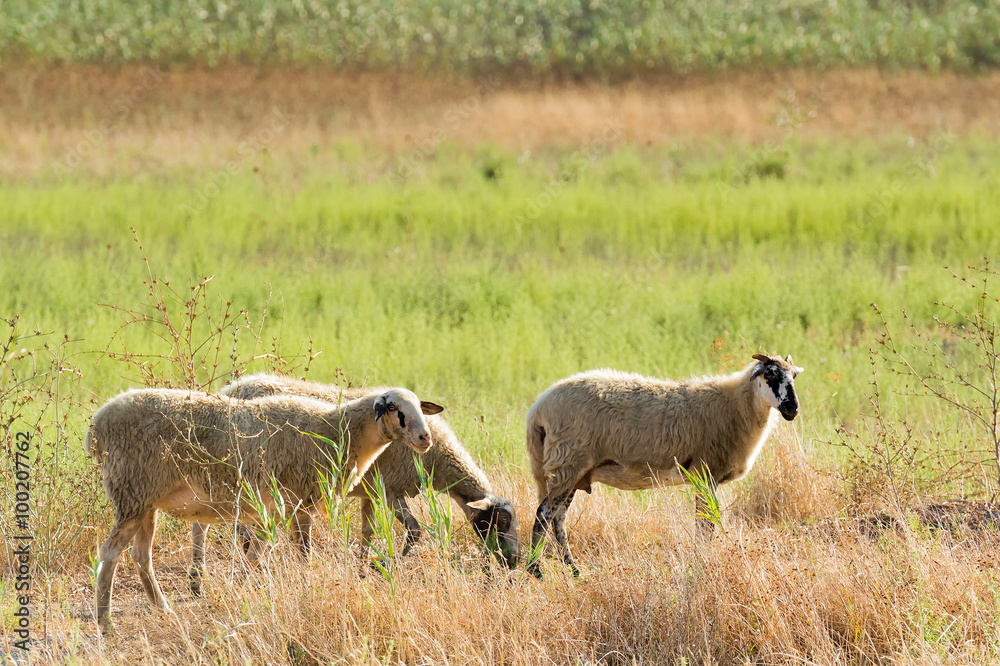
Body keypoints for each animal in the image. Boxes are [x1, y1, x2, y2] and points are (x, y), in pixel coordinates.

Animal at [86, 386, 443, 632]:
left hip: (145, 500)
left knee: (140, 555)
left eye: (420, 408)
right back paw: (106, 623)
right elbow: (302, 554)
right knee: (110, 553)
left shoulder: (286, 506)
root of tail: (97, 426)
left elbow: (264, 554)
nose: (425, 438)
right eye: (394, 407)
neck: (336, 430)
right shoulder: (299, 501)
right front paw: (302, 590)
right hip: (132, 492)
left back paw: (162, 608)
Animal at [215, 374, 519, 569]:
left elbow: (367, 532)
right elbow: (414, 530)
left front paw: (364, 563)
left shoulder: (370, 494)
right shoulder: (391, 490)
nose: (513, 562)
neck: (438, 459)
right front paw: (394, 561)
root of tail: (230, 389)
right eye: (499, 522)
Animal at [524, 353, 803, 578]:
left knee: (558, 519)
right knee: (544, 515)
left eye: (793, 377)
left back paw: (574, 571)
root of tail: (537, 408)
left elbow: (704, 522)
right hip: (566, 462)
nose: (792, 408)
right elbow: (706, 523)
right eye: (769, 374)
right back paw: (535, 571)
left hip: (573, 470)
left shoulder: (704, 477)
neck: (736, 404)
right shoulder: (706, 472)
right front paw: (703, 561)